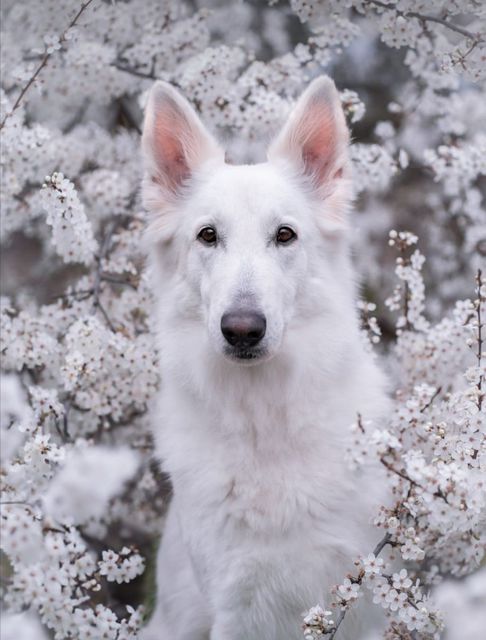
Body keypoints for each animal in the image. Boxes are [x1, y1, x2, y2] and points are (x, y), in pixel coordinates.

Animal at [140, 76, 388, 640]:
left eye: (285, 235)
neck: (264, 418)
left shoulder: (365, 596)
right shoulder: (241, 608)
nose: (242, 329)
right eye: (208, 235)